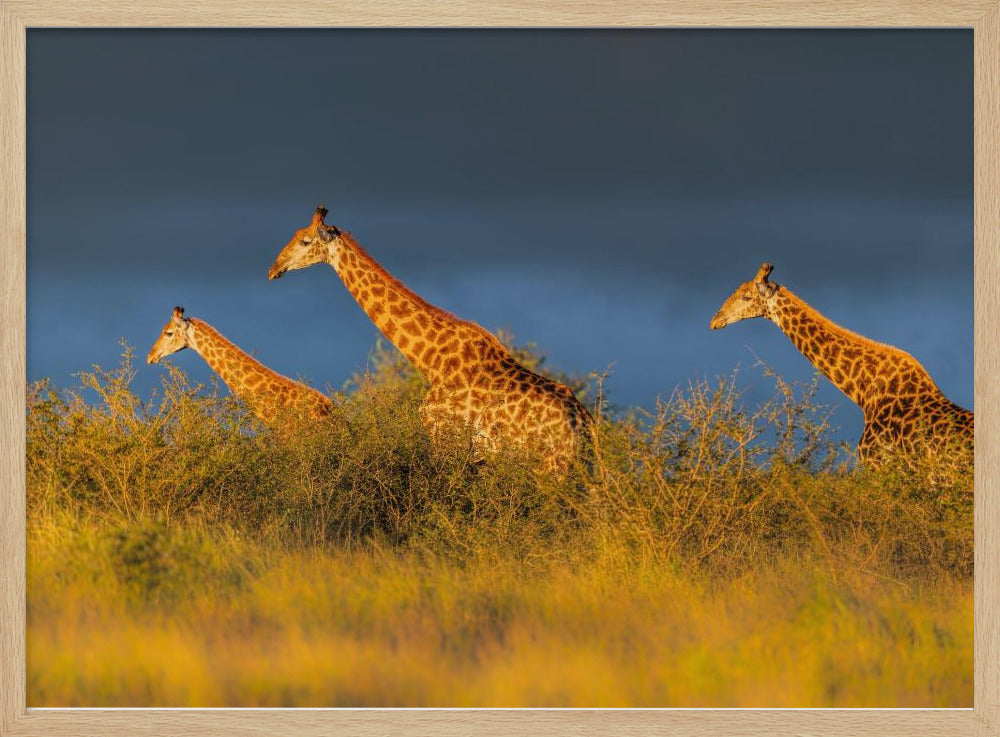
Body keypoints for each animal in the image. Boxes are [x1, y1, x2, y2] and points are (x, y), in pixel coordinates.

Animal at [267, 206, 592, 472]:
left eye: (305, 241)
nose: (273, 269)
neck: (431, 360)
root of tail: (583, 425)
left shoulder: (444, 438)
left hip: (550, 466)